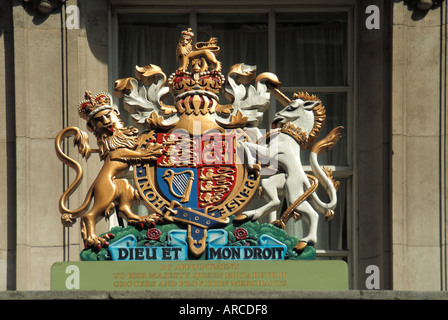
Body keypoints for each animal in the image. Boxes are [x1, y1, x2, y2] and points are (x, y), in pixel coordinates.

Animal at [54, 91, 163, 249]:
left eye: (107, 115)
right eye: (99, 119)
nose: (106, 123)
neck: (114, 135)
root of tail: (94, 185)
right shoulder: (119, 153)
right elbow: (137, 153)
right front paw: (152, 149)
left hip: (121, 184)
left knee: (123, 209)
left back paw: (144, 219)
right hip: (106, 194)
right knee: (88, 215)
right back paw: (95, 240)